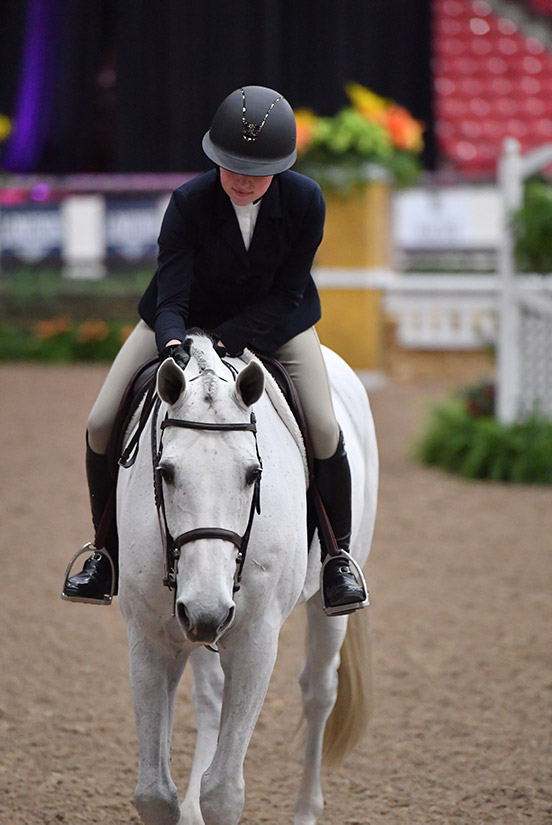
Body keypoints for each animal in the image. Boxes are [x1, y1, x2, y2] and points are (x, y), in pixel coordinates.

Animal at [114, 330, 378, 824]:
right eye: (165, 472)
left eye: (254, 473)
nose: (208, 611)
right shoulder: (151, 636)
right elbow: (154, 794)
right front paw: (183, 805)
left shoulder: (255, 638)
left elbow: (224, 794)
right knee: (212, 698)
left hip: (326, 606)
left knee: (319, 693)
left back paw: (306, 809)